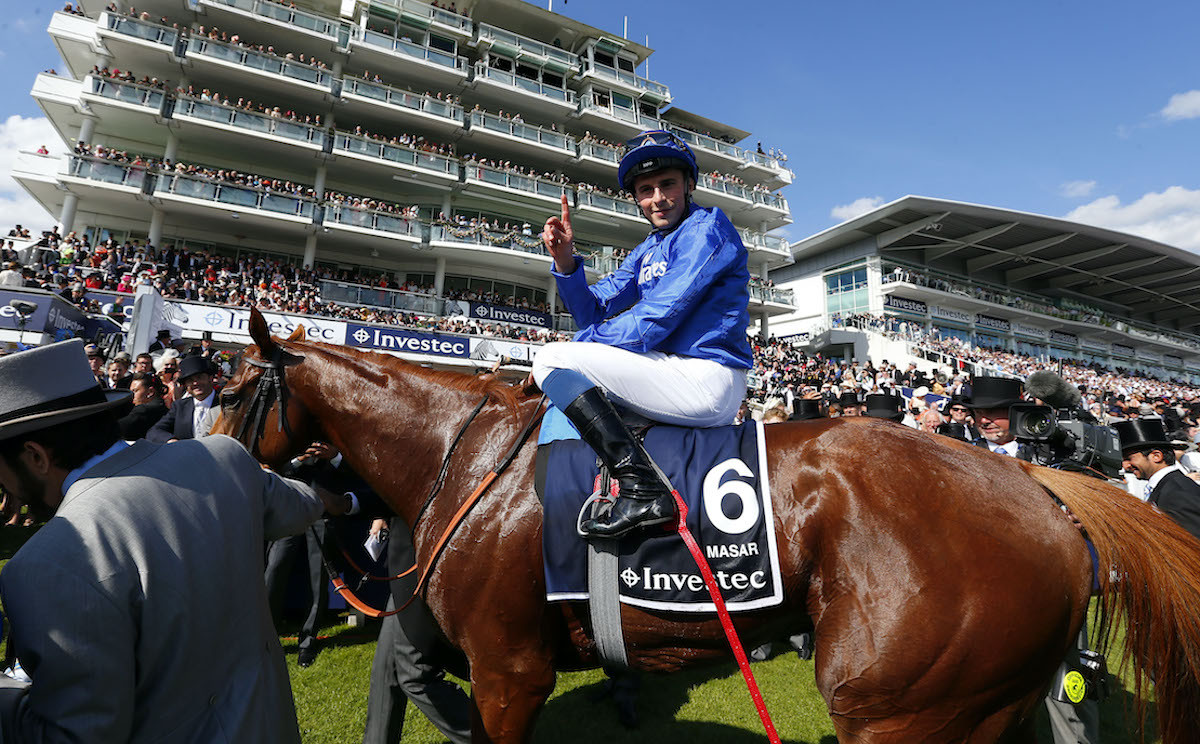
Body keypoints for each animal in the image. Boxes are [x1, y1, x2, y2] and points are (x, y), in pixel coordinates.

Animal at [216, 312, 1200, 739]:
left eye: (230, 388)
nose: (209, 466)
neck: (467, 453)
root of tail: (1033, 482)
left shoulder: (509, 669)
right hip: (977, 701)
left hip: (900, 704)